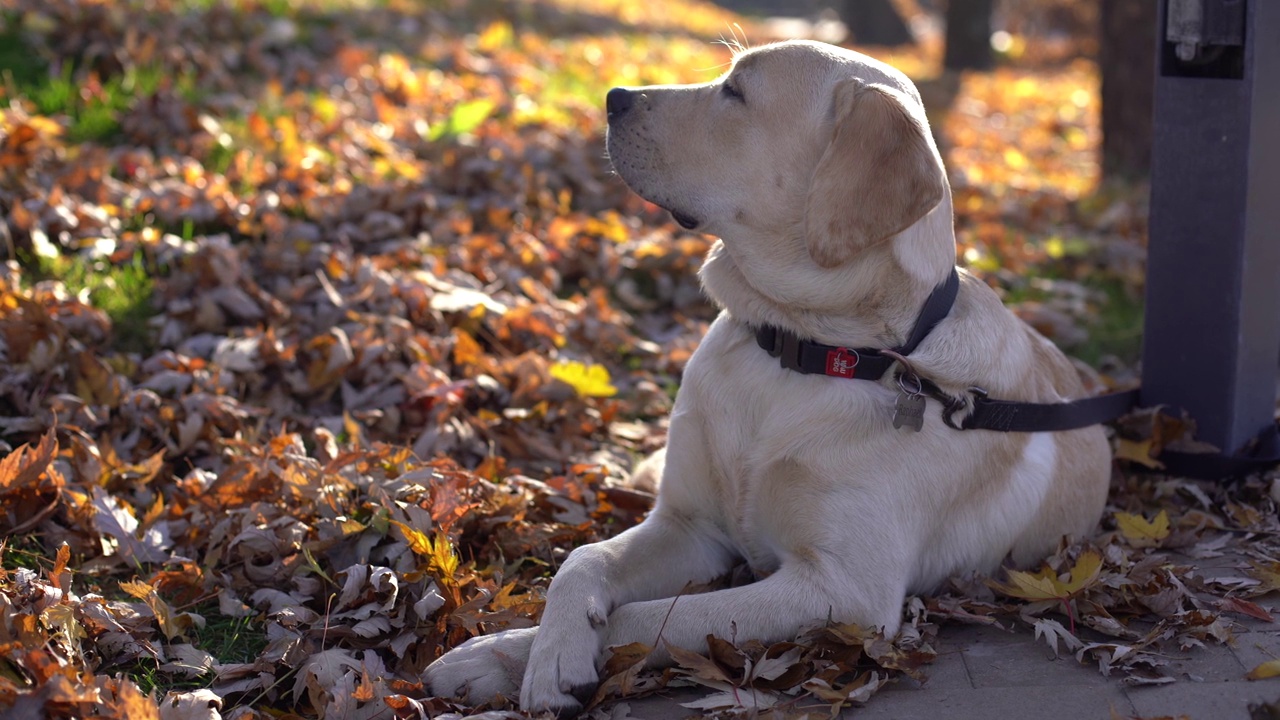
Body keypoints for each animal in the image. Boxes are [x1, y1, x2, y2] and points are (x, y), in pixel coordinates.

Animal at [427, 39, 1111, 712]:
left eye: (736, 91)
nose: (613, 97)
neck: (800, 348)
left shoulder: (843, 588)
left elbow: (649, 617)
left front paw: (541, 661)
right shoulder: (689, 526)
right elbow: (583, 559)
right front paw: (508, 653)